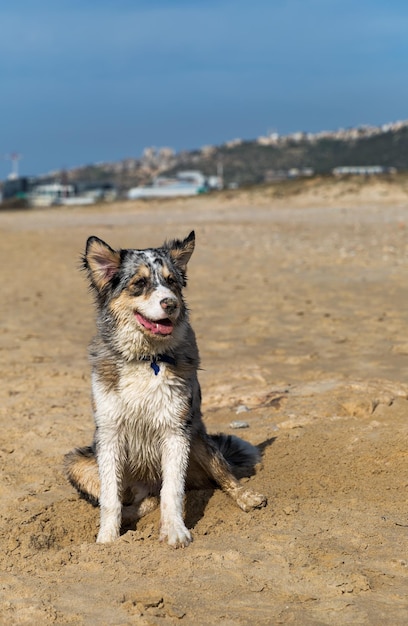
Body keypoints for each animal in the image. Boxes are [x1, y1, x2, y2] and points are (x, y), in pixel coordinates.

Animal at [65, 232, 266, 544]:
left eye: (172, 282)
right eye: (139, 283)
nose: (171, 304)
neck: (146, 358)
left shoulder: (176, 429)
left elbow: (172, 491)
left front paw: (175, 532)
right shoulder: (109, 433)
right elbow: (110, 499)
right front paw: (107, 541)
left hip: (198, 439)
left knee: (223, 475)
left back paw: (247, 497)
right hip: (78, 462)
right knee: (134, 501)